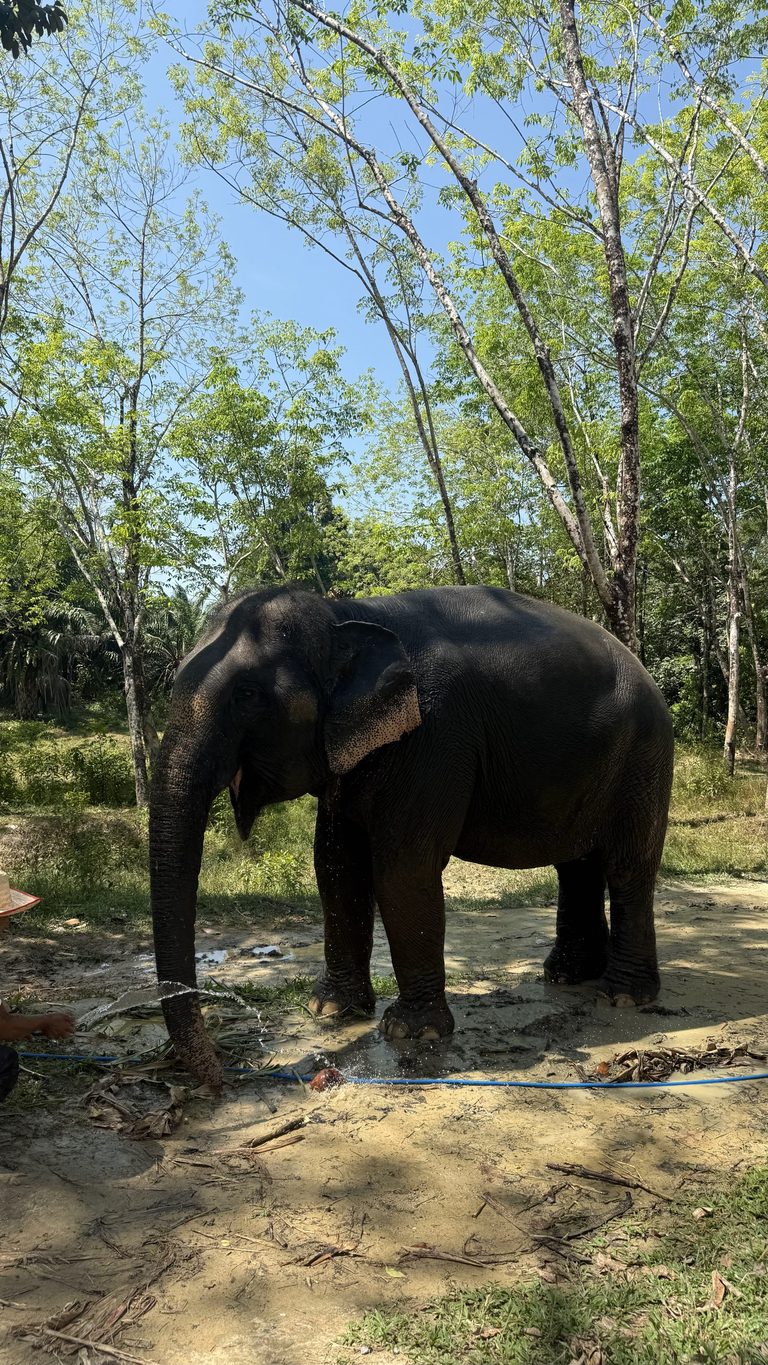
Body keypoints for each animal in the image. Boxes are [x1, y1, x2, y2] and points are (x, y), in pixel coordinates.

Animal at [150, 584, 674, 1090]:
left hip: (644, 758)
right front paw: (329, 1010)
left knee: (627, 867)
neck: (348, 612)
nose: (221, 1078)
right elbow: (336, 865)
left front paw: (409, 1032)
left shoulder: (434, 736)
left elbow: (403, 869)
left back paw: (622, 996)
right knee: (577, 865)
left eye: (247, 694)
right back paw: (566, 975)